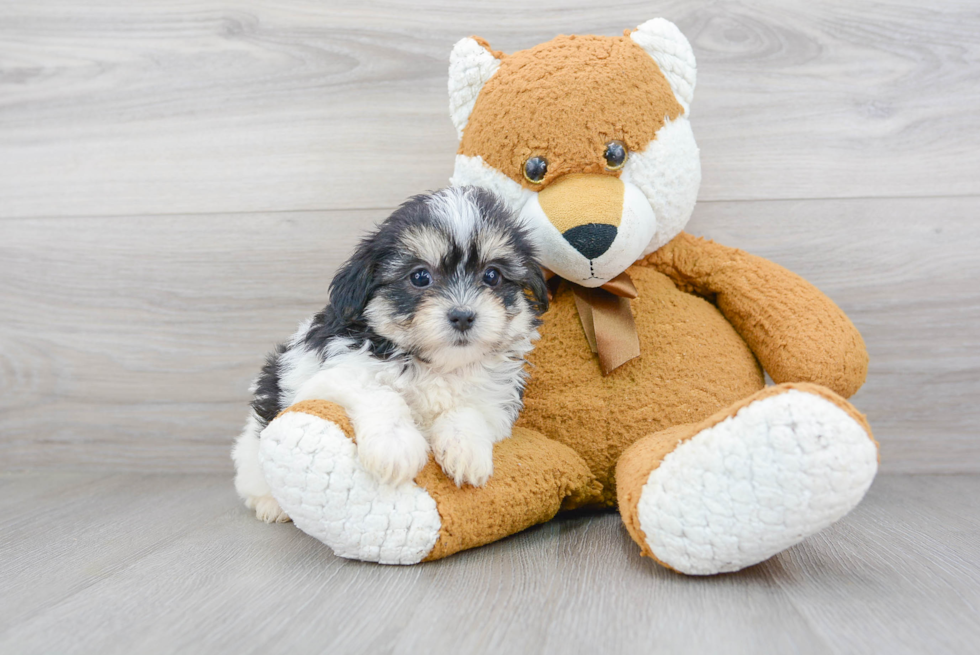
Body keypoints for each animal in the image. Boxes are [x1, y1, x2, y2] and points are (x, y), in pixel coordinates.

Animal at [233, 188, 548, 524]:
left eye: (492, 276)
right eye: (420, 277)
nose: (463, 315)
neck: (434, 365)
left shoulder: (495, 401)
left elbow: (468, 410)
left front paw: (466, 450)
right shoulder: (329, 376)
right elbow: (379, 391)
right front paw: (394, 446)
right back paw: (271, 504)